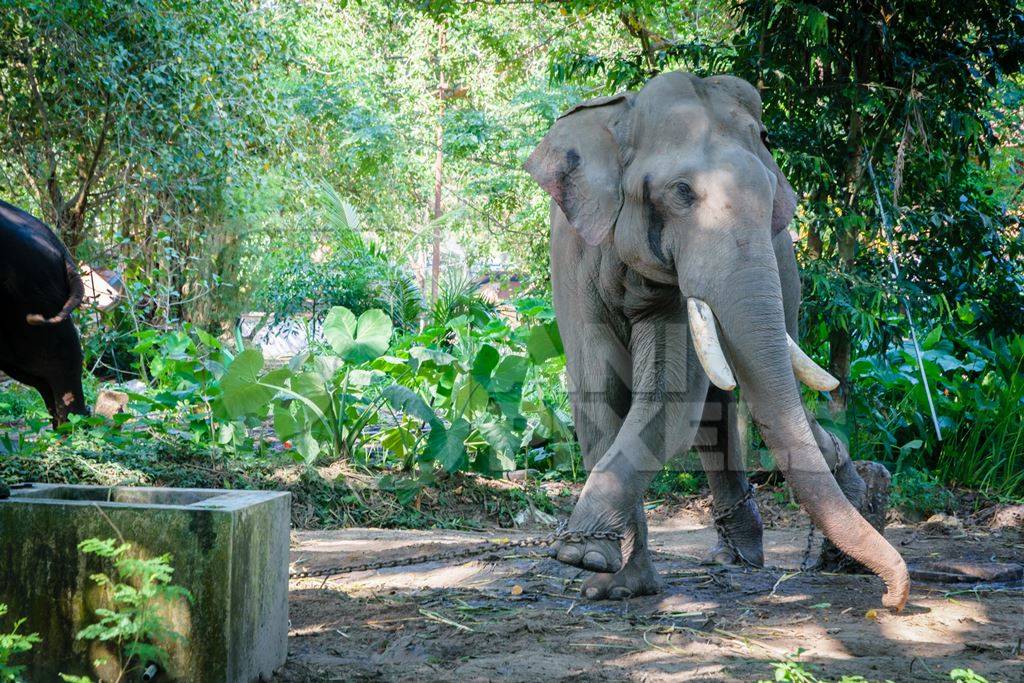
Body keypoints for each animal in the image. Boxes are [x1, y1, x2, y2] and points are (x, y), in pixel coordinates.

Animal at [524, 72, 909, 610]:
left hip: (785, 269)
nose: (893, 600)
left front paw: (582, 557)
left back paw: (849, 511)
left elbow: (669, 404)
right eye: (682, 192)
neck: (624, 115)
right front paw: (608, 577)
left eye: (770, 196)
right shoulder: (573, 251)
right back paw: (744, 552)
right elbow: (597, 392)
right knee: (725, 404)